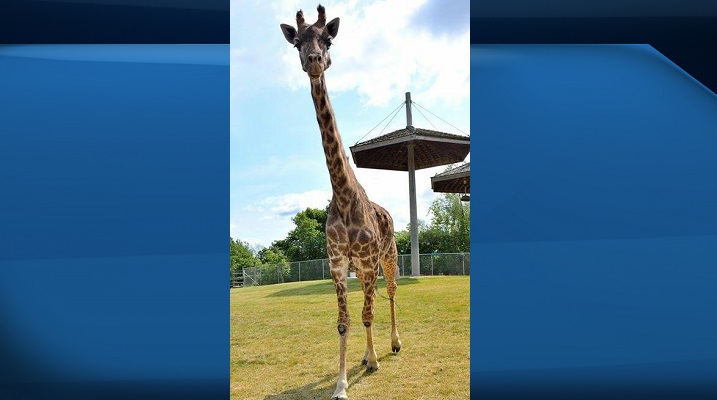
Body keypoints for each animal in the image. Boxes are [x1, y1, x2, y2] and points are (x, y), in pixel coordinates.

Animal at [280, 5, 402, 400]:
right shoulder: (337, 264)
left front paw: (375, 361)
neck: (345, 196)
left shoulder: (366, 261)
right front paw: (341, 383)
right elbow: (345, 322)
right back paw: (366, 355)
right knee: (372, 300)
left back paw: (393, 345)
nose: (315, 60)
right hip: (364, 268)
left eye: (329, 40)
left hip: (387, 258)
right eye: (297, 43)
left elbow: (366, 314)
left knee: (389, 294)